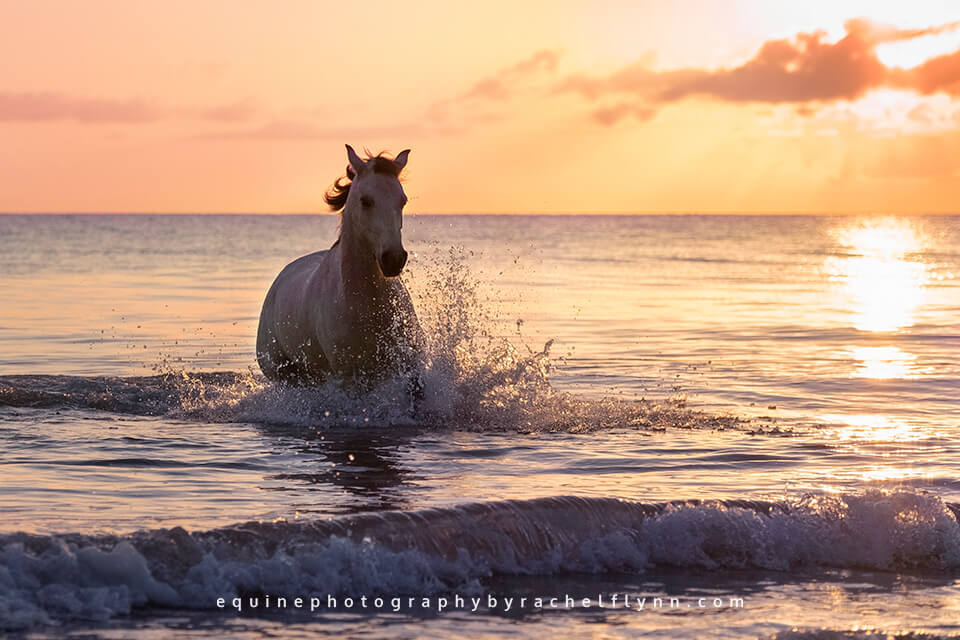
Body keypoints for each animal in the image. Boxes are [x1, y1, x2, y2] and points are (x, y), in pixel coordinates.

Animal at [256, 144, 422, 384]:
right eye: (365, 201)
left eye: (403, 200)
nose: (394, 258)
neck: (369, 307)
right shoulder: (349, 377)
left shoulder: (409, 364)